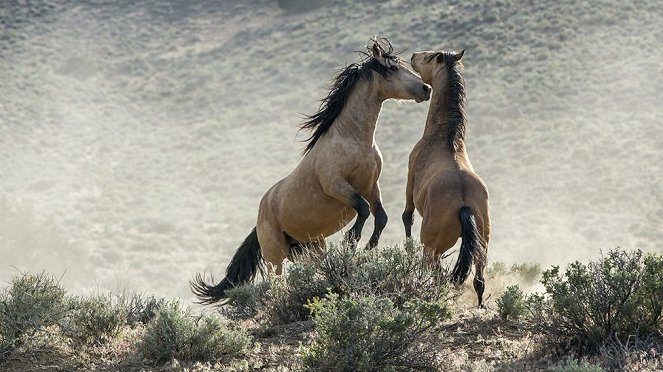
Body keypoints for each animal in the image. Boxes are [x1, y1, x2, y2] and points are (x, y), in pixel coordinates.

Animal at [189, 37, 434, 306]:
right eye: (392, 68)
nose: (426, 89)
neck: (353, 140)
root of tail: (260, 215)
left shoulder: (371, 186)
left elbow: (380, 216)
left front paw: (368, 247)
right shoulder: (337, 186)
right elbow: (362, 209)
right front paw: (351, 241)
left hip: (311, 247)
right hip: (275, 254)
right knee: (276, 282)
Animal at [402, 48, 490, 306]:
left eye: (429, 57)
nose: (414, 55)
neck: (444, 136)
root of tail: (464, 203)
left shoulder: (410, 179)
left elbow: (407, 216)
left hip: (432, 246)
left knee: (434, 269)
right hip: (482, 245)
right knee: (478, 280)